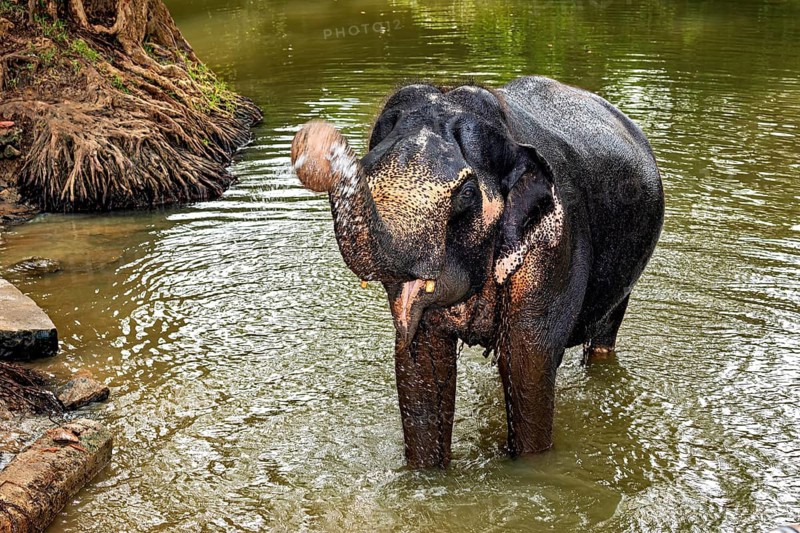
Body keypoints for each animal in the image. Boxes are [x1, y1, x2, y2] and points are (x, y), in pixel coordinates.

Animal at [290, 76, 664, 468]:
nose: (317, 141)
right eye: (364, 171)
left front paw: (530, 468)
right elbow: (421, 367)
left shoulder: (554, 247)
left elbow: (528, 365)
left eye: (467, 193)